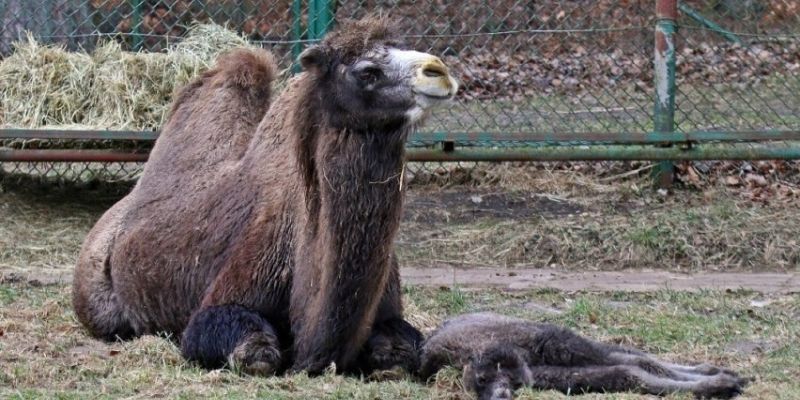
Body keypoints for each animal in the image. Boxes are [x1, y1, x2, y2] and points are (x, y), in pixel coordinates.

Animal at [422, 314, 748, 398]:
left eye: (483, 378)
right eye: (479, 385)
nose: (499, 395)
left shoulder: (554, 344)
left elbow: (634, 365)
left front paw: (721, 381)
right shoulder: (551, 375)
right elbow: (629, 374)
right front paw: (718, 384)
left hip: (559, 339)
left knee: (633, 355)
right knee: (629, 358)